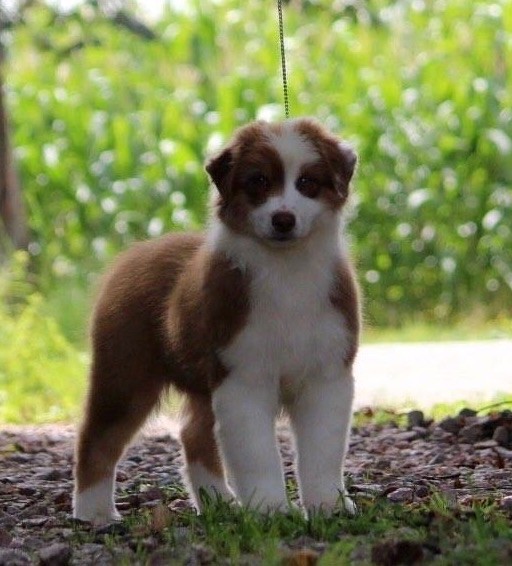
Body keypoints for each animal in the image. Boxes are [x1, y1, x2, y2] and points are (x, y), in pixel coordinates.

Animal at [73, 118, 360, 524]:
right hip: (125, 372)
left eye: (307, 182)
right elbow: (257, 453)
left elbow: (323, 451)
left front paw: (328, 506)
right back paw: (94, 514)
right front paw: (270, 510)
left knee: (194, 435)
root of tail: (136, 253)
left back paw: (218, 503)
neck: (286, 270)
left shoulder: (326, 374)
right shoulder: (243, 376)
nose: (283, 220)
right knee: (97, 438)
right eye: (258, 181)